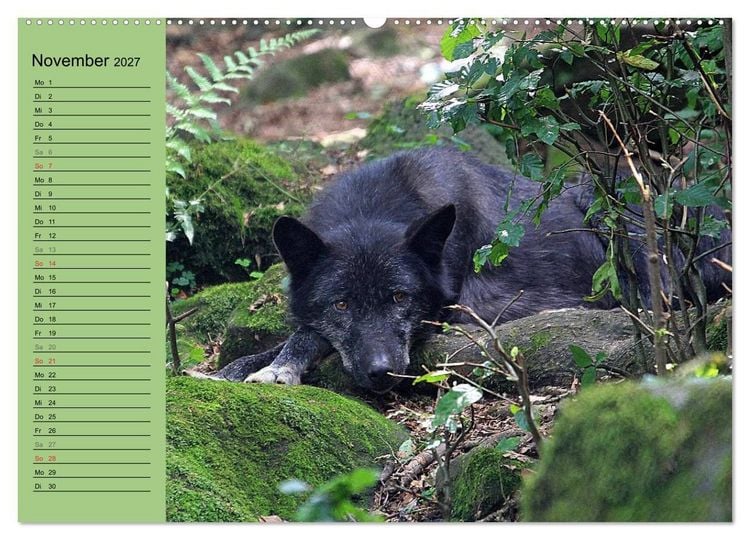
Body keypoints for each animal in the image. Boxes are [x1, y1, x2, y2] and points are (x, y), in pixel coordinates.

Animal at [216, 147, 730, 392]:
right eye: (341, 304)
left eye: (400, 298)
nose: (383, 373)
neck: (374, 205)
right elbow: (284, 337)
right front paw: (235, 369)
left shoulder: (447, 310)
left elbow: (306, 333)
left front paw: (279, 367)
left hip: (610, 204)